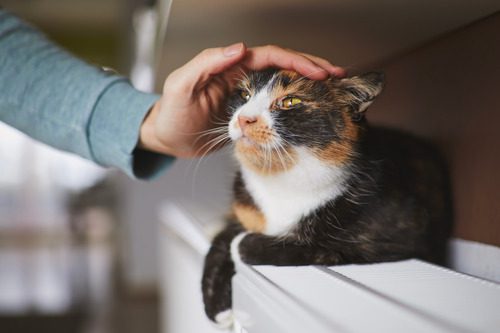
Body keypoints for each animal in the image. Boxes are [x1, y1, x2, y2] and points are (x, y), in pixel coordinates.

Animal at [201, 68, 452, 326]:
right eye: (244, 94)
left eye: (291, 102)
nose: (244, 118)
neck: (283, 179)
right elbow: (218, 245)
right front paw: (218, 309)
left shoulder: (402, 236)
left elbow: (323, 246)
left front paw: (243, 243)